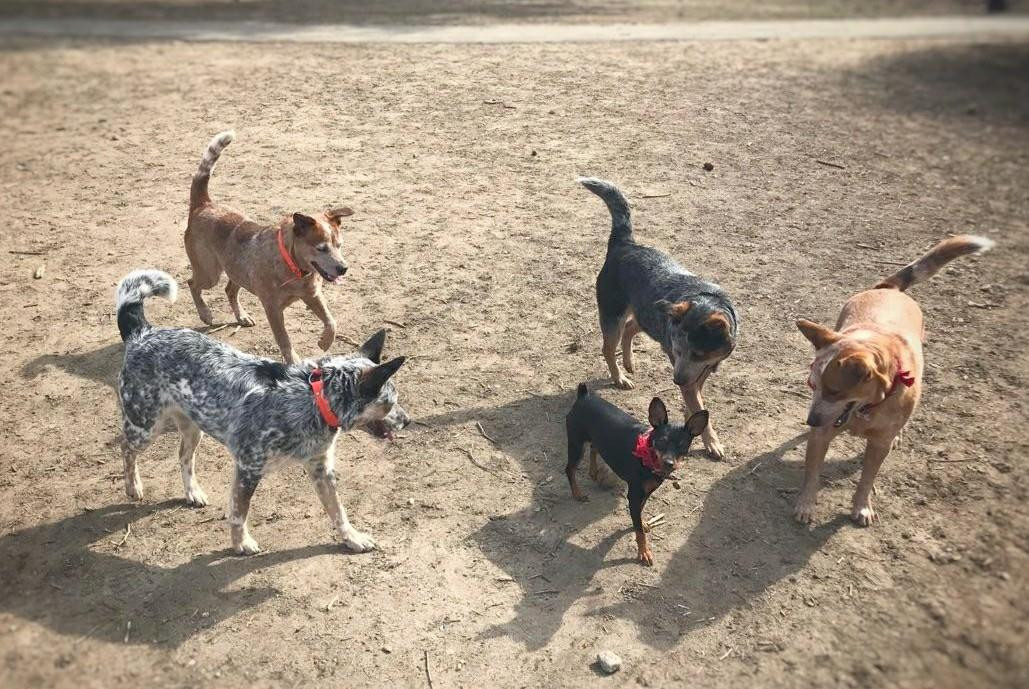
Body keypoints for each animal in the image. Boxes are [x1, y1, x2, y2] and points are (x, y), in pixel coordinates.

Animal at [113, 269, 409, 555]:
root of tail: (143, 333)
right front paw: (241, 544)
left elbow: (338, 511)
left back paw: (193, 492)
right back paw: (133, 487)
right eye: (389, 403)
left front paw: (352, 538)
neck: (314, 399)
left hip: (192, 427)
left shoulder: (321, 469)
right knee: (126, 448)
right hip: (145, 426)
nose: (407, 421)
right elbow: (239, 513)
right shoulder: (248, 469)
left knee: (184, 457)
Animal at [186, 131, 358, 364]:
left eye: (340, 245)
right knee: (192, 283)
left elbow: (331, 321)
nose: (343, 268)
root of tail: (204, 204)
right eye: (321, 248)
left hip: (236, 271)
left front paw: (324, 342)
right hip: (209, 273)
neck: (293, 267)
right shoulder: (273, 309)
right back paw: (205, 314)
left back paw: (242, 316)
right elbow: (284, 339)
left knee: (229, 290)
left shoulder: (313, 295)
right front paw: (294, 362)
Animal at [563, 382, 707, 567]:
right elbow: (639, 531)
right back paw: (577, 493)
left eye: (683, 446)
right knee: (569, 469)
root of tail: (584, 395)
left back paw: (593, 472)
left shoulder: (645, 493)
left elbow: (640, 512)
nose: (669, 463)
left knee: (594, 448)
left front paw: (642, 522)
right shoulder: (634, 494)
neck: (649, 459)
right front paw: (643, 552)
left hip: (594, 439)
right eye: (661, 441)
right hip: (576, 444)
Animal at [580, 177, 740, 460]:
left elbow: (697, 398)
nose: (676, 380)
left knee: (631, 328)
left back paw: (629, 363)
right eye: (677, 351)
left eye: (698, 353)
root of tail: (625, 243)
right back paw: (620, 377)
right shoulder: (687, 374)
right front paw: (712, 441)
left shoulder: (703, 369)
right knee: (609, 347)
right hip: (613, 315)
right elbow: (696, 401)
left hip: (645, 313)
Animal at [790, 234, 991, 526]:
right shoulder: (822, 435)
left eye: (835, 390)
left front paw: (862, 507)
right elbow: (812, 473)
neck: (865, 411)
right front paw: (805, 505)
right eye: (812, 385)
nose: (811, 420)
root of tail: (889, 289)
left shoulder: (878, 444)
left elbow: (867, 478)